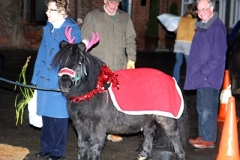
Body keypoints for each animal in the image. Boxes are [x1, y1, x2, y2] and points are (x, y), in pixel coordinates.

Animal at [53, 40, 188, 160]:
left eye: (79, 62)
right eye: (61, 61)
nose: (65, 83)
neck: (93, 91)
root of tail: (171, 79)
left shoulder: (97, 126)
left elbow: (94, 147)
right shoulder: (80, 126)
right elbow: (82, 147)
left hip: (165, 117)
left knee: (174, 135)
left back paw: (180, 155)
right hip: (148, 116)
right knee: (149, 132)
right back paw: (143, 154)